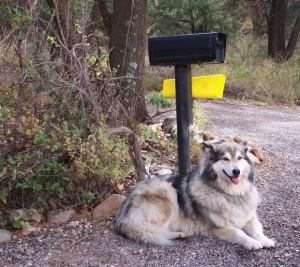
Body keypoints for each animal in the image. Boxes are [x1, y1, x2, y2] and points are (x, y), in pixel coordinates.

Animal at [115, 141, 274, 250]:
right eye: (225, 159)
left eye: (240, 158)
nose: (236, 172)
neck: (229, 194)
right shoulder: (214, 228)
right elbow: (239, 232)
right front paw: (252, 242)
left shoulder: (249, 218)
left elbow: (257, 230)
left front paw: (265, 240)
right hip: (167, 192)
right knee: (150, 230)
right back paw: (177, 235)